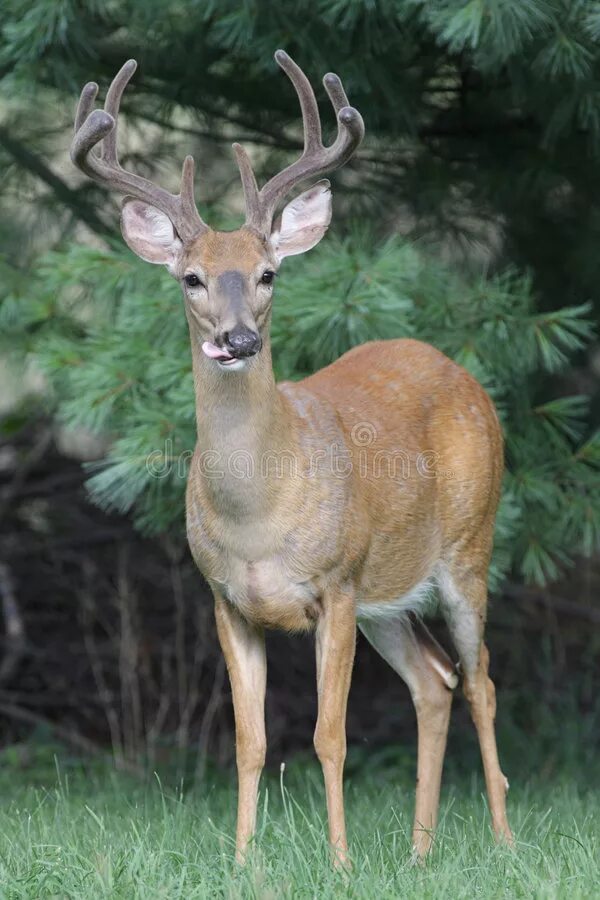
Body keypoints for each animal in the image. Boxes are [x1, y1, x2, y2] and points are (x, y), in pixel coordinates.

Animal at [70, 49, 510, 864]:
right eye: (192, 278)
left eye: (268, 273)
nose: (239, 338)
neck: (258, 514)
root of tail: (462, 372)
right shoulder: (226, 599)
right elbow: (249, 741)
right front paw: (243, 862)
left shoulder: (333, 584)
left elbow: (329, 735)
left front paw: (339, 862)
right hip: (385, 596)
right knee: (434, 680)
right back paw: (419, 851)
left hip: (468, 546)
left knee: (480, 679)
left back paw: (501, 839)